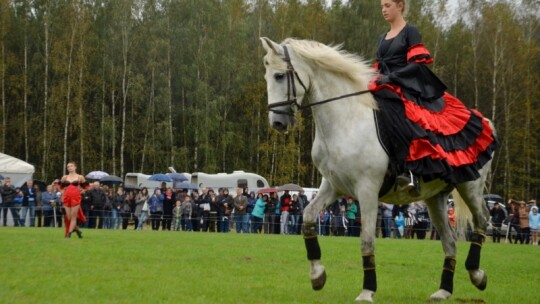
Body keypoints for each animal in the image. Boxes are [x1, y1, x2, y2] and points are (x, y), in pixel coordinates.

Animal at [260, 37, 494, 302]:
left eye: (279, 75)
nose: (278, 123)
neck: (345, 121)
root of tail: (485, 121)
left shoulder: (368, 191)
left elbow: (366, 240)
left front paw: (367, 291)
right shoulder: (333, 186)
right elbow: (308, 218)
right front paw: (317, 275)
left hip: (470, 186)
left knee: (482, 221)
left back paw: (477, 274)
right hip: (435, 198)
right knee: (450, 240)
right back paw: (443, 291)